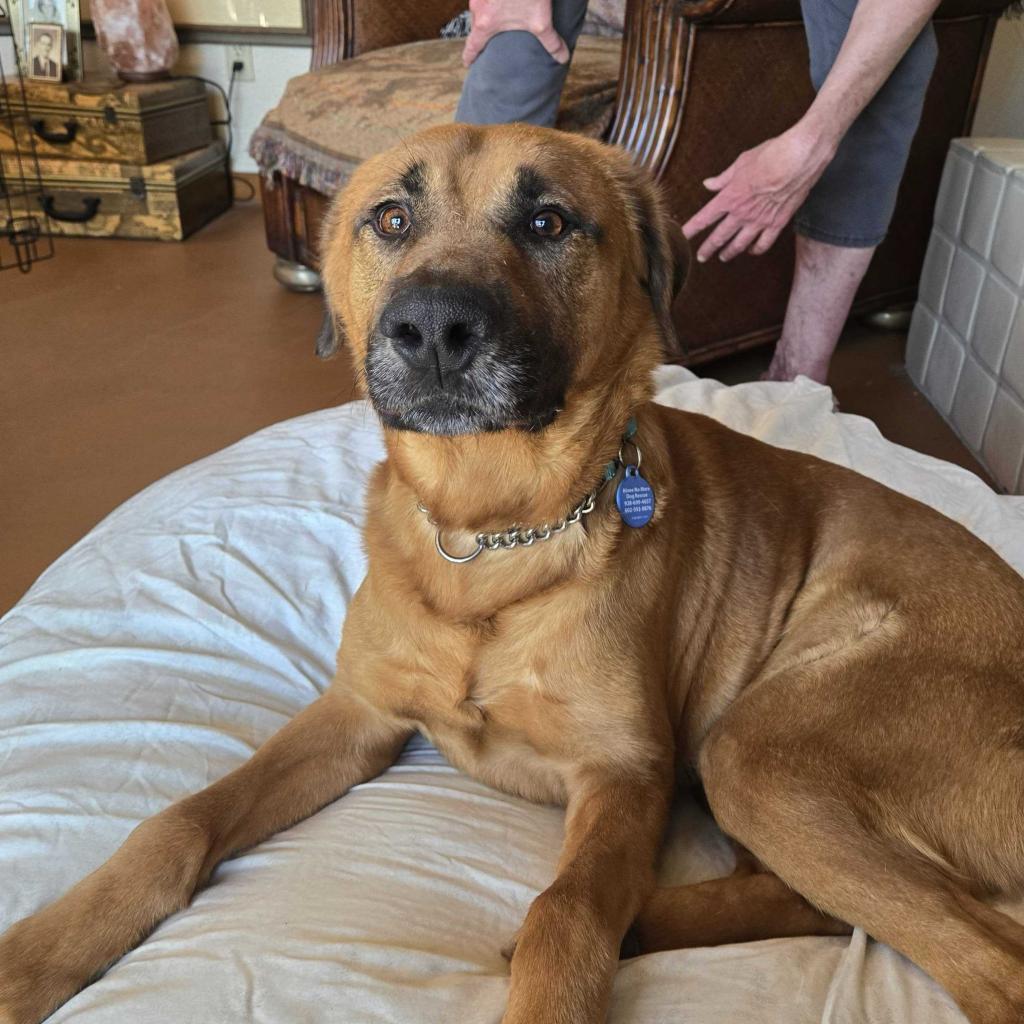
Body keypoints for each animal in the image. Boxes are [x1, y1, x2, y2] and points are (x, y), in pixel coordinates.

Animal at [2, 125, 1024, 1024]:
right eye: (389, 219)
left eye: (548, 221)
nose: (432, 328)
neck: (489, 532)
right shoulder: (358, 714)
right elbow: (181, 820)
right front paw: (41, 952)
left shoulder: (624, 775)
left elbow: (564, 912)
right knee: (816, 902)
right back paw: (648, 924)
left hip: (757, 750)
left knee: (983, 962)